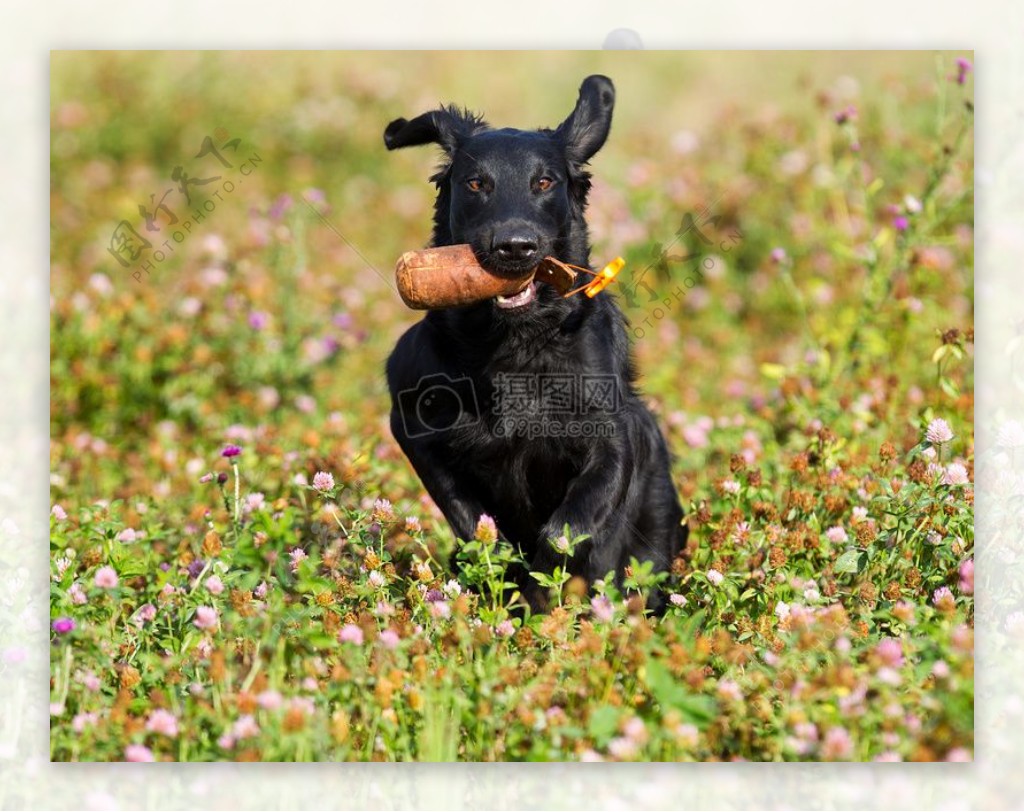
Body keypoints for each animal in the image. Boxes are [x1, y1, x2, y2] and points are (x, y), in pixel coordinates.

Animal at [380, 75, 684, 610]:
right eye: (476, 183)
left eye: (543, 182)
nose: (515, 247)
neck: (514, 344)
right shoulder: (413, 423)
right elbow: (473, 522)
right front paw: (506, 580)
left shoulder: (611, 437)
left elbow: (567, 529)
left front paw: (542, 595)